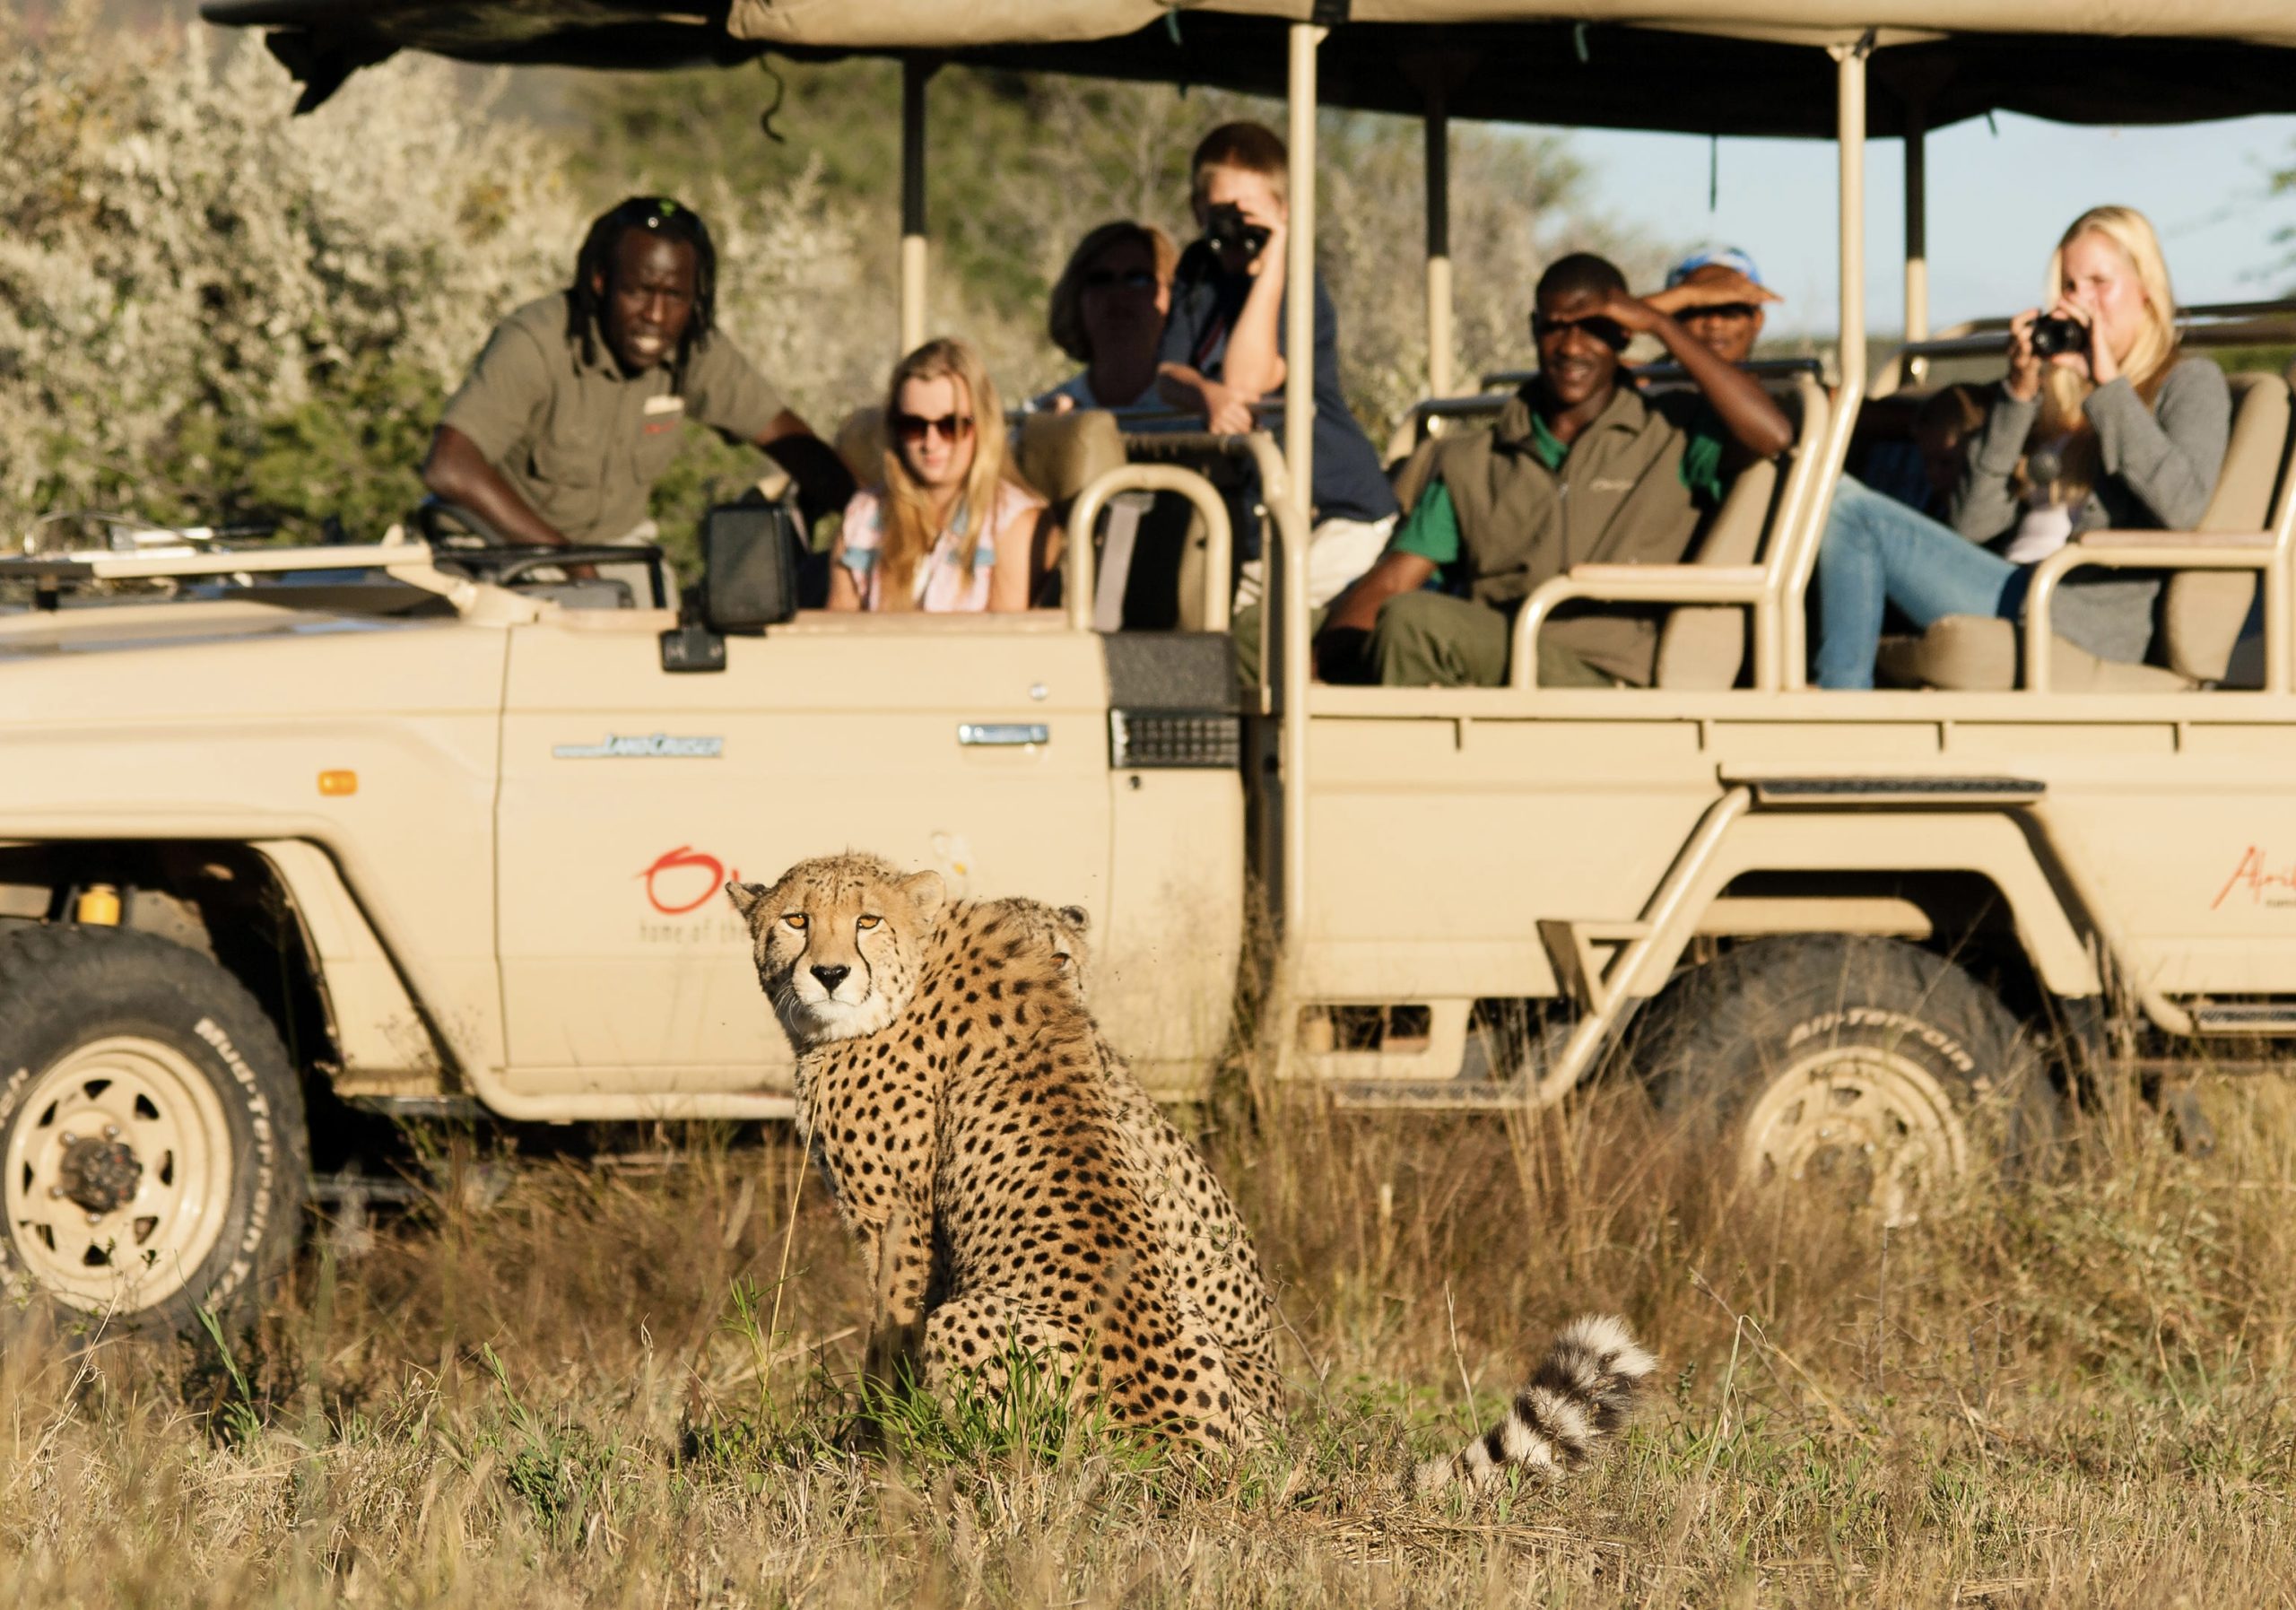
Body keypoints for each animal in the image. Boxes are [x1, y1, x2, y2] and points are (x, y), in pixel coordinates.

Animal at [730, 854, 1653, 1479]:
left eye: (865, 921)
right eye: (795, 920)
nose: (829, 972)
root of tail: (1225, 1451)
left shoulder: (900, 1226)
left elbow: (884, 1344)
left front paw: (867, 1449)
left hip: (977, 1325)